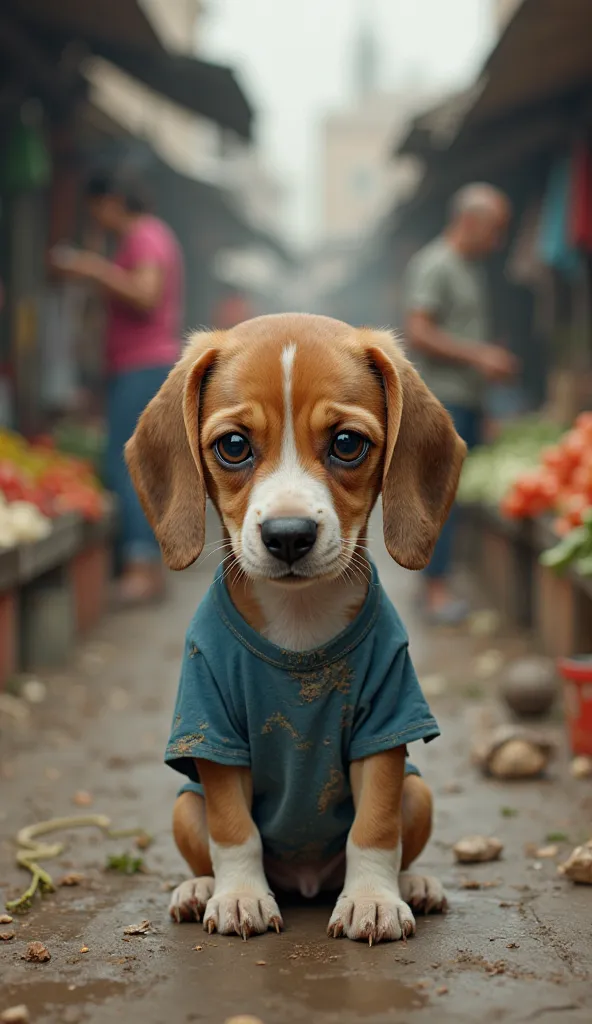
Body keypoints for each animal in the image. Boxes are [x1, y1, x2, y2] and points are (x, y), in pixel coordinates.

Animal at [125, 311, 464, 942]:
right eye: (233, 446)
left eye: (347, 444)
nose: (287, 535)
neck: (298, 616)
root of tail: (306, 880)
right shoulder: (211, 732)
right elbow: (234, 830)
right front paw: (238, 896)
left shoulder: (387, 724)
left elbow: (374, 829)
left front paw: (373, 900)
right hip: (185, 804)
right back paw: (199, 889)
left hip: (419, 790)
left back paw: (413, 885)